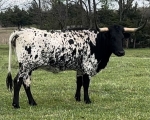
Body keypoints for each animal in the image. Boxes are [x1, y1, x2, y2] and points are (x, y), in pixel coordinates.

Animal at [6, 22, 146, 108]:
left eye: (122, 37)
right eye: (111, 37)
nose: (121, 52)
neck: (95, 41)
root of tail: (21, 31)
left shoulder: (80, 68)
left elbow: (79, 83)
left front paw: (78, 98)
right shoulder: (88, 66)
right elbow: (86, 84)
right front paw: (87, 100)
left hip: (28, 67)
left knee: (26, 82)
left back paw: (32, 102)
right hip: (26, 65)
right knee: (17, 81)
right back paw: (16, 105)